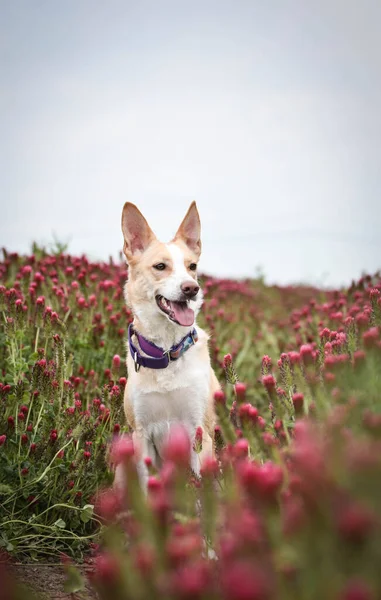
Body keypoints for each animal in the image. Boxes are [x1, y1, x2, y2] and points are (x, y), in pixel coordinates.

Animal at [119, 199, 220, 490]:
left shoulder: (200, 432)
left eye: (192, 266)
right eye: (160, 267)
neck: (166, 351)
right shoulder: (140, 435)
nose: (191, 288)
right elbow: (145, 488)